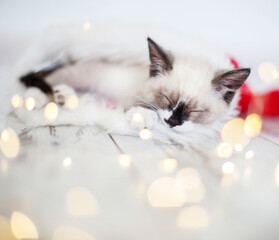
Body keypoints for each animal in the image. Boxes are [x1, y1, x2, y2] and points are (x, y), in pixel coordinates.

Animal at [17, 25, 252, 136]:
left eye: (196, 111)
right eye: (165, 98)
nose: (172, 122)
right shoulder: (132, 93)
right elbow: (140, 104)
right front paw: (144, 116)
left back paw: (64, 96)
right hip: (77, 74)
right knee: (37, 78)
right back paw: (36, 99)